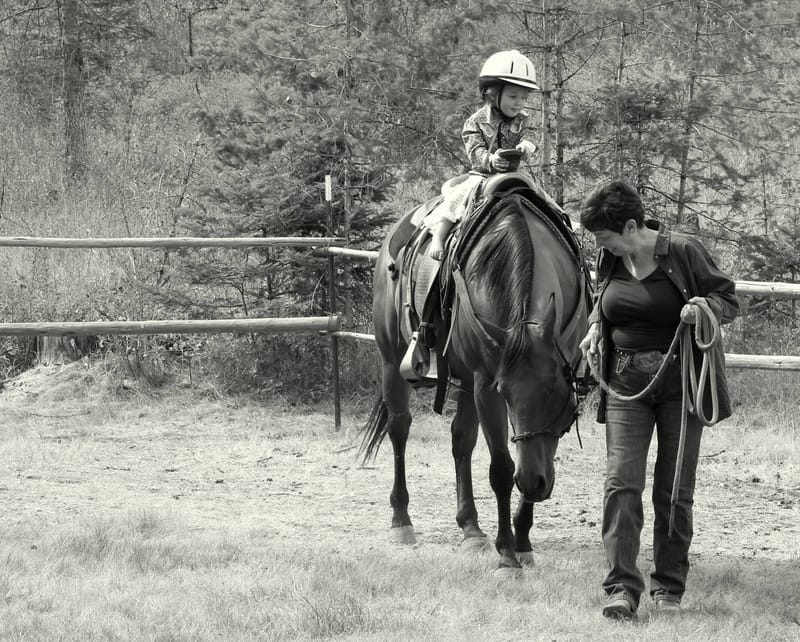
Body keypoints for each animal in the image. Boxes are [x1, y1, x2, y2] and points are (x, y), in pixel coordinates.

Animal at [360, 174, 592, 568]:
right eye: (506, 393)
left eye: (562, 401)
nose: (534, 483)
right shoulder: (486, 384)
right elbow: (501, 469)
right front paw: (508, 555)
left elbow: (529, 451)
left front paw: (522, 541)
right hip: (393, 361)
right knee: (399, 429)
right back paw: (401, 520)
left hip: (465, 379)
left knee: (461, 439)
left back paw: (470, 527)